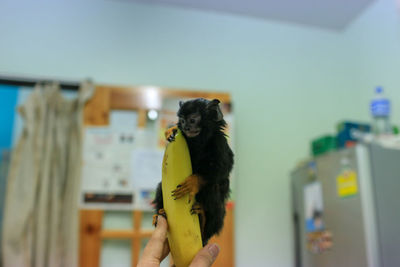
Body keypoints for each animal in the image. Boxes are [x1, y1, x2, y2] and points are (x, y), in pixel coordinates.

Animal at [153, 98, 234, 247]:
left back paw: (203, 221)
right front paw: (172, 129)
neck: (199, 142)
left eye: (192, 120)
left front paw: (194, 182)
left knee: (213, 187)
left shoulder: (219, 143)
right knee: (161, 186)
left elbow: (223, 169)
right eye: (182, 121)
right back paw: (159, 214)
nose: (186, 128)